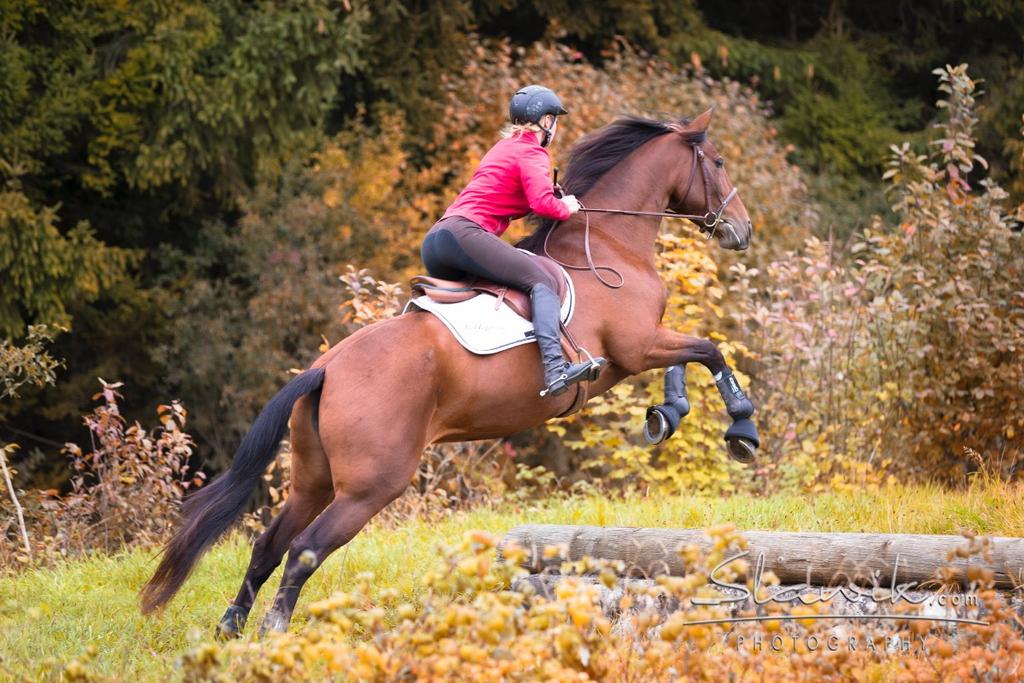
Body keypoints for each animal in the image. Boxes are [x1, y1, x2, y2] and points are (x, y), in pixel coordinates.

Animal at [140, 107, 757, 634]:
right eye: (719, 162)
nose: (742, 229)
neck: (607, 241)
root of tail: (328, 367)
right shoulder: (638, 346)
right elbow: (708, 350)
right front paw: (741, 429)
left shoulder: (649, 344)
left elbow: (692, 355)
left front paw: (668, 412)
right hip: (371, 485)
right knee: (304, 549)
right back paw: (275, 631)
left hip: (315, 477)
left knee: (269, 544)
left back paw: (231, 628)